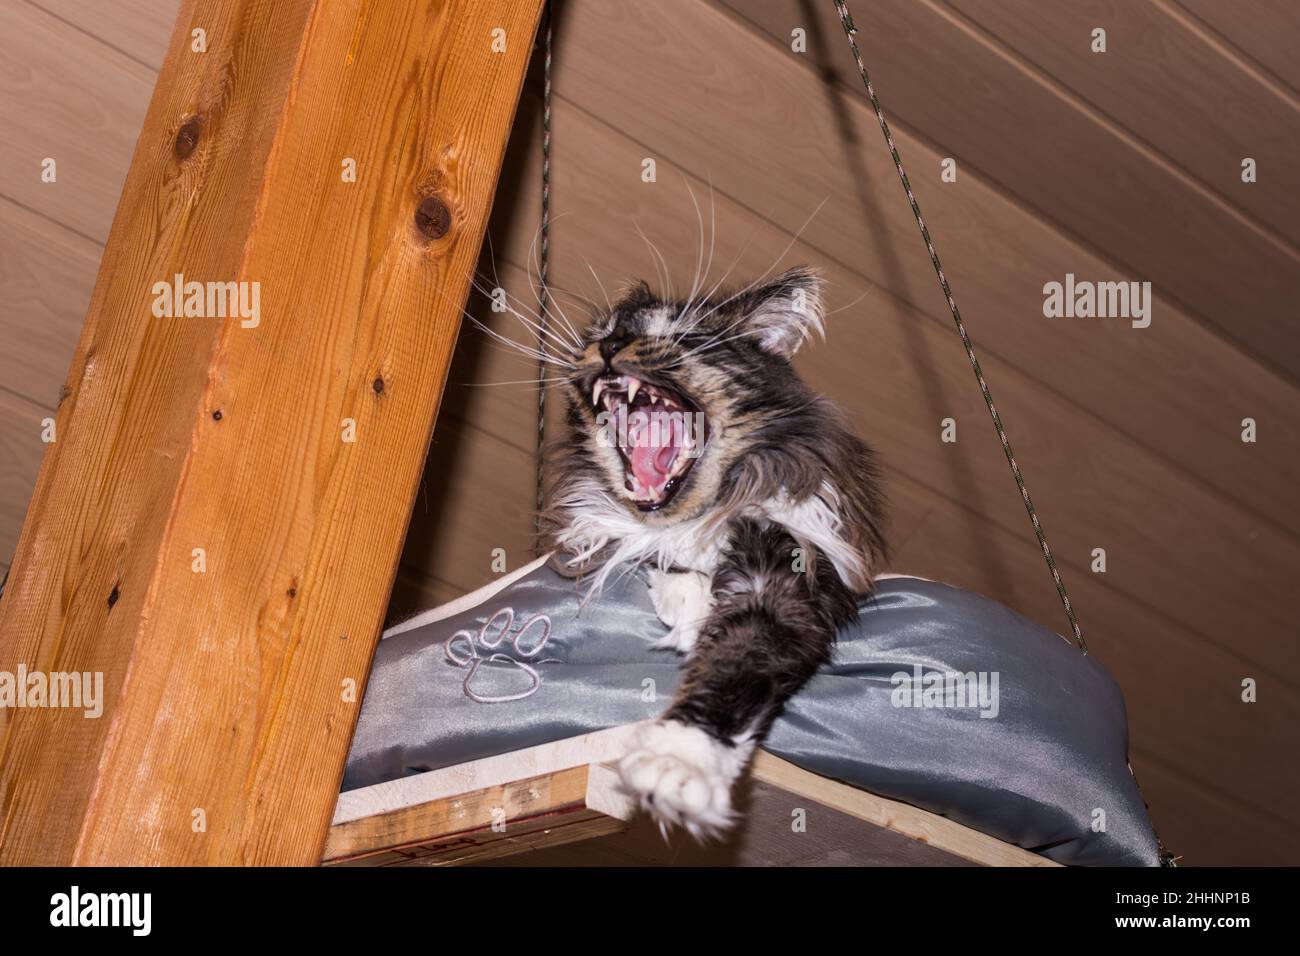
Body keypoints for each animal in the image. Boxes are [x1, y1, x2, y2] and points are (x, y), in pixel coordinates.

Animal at [538, 267, 883, 837]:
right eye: (603, 332)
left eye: (686, 337)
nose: (610, 345)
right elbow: (652, 557)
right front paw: (686, 601)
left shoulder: (788, 584)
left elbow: (731, 671)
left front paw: (676, 765)